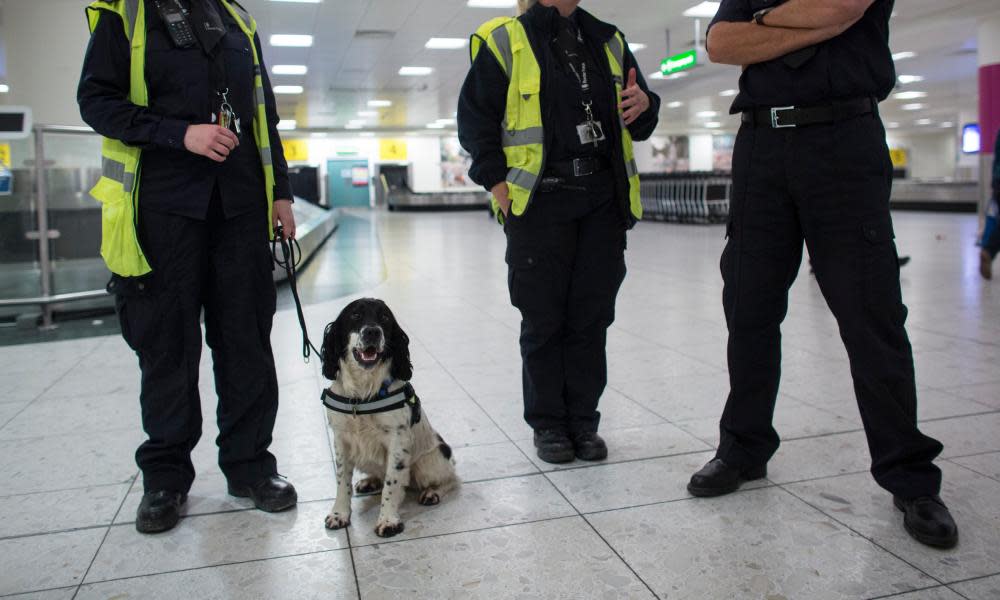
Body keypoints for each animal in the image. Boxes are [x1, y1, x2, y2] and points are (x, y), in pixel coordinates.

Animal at [320, 298, 460, 536]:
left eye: (384, 318)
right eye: (355, 315)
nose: (372, 332)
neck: (362, 396)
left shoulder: (397, 440)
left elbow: (392, 483)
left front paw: (388, 520)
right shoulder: (341, 439)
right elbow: (342, 481)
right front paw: (339, 514)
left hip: (429, 464)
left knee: (451, 478)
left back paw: (432, 493)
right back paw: (370, 481)